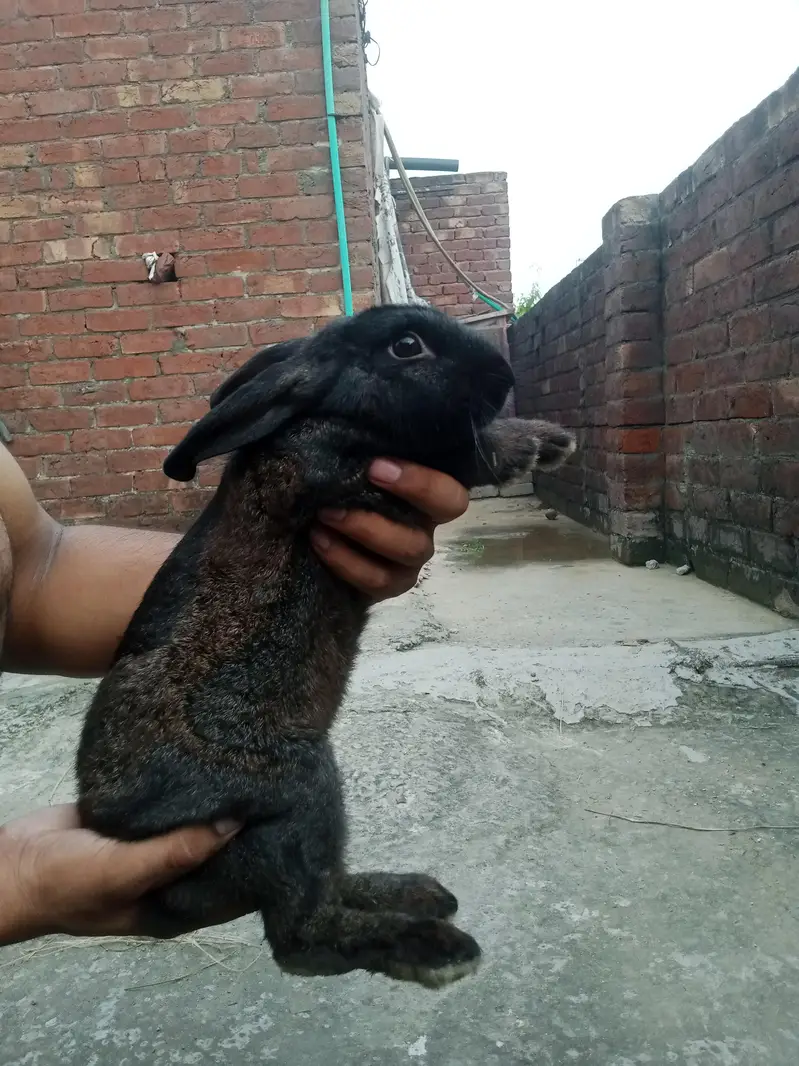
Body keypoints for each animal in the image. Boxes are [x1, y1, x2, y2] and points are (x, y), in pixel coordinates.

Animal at [76, 303, 576, 989]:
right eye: (407, 346)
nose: (503, 374)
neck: (336, 413)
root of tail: (108, 816)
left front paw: (550, 440)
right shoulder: (340, 471)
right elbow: (462, 457)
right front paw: (532, 442)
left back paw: (415, 894)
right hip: (295, 789)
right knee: (301, 935)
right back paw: (435, 948)